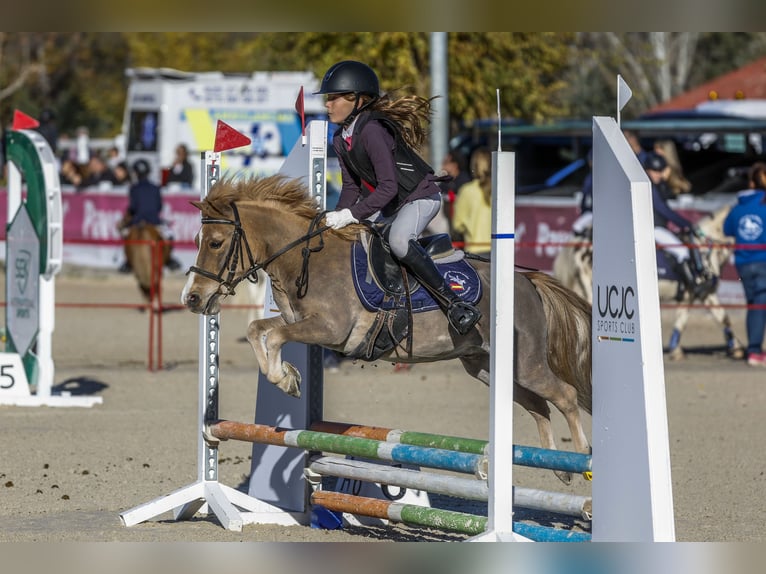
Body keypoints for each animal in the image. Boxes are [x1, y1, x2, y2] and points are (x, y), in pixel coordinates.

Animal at [183, 176, 596, 486]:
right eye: (198, 242)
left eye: (216, 243)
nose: (192, 298)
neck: (306, 259)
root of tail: (527, 281)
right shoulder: (298, 322)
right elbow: (259, 328)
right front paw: (288, 376)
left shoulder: (330, 330)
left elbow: (277, 337)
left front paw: (285, 378)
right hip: (486, 365)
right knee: (538, 405)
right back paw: (557, 467)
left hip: (526, 364)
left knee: (565, 395)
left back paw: (581, 460)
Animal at [556, 205, 748, 362]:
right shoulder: (702, 292)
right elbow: (720, 318)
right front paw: (737, 349)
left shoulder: (694, 295)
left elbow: (705, 319)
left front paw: (677, 350)